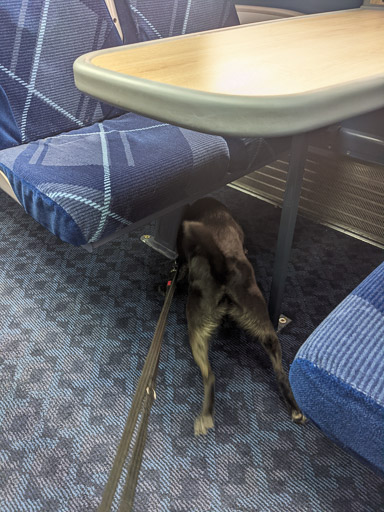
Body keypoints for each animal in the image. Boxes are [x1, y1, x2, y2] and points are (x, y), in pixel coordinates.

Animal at [177, 198, 306, 434]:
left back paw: (205, 415)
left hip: (194, 328)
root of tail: (224, 268)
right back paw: (295, 409)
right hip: (264, 329)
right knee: (280, 372)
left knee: (209, 376)